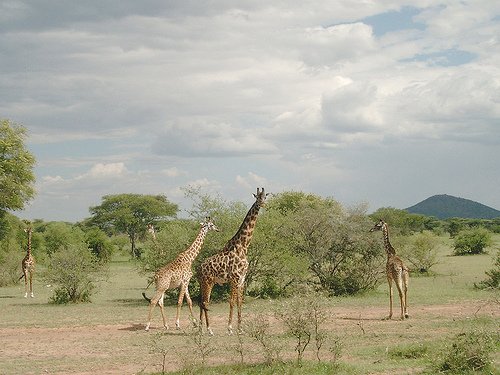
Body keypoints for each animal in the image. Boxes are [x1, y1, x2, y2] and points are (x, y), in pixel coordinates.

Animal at [199, 187, 270, 334]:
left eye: (265, 197)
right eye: (257, 198)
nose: (263, 204)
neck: (243, 246)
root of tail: (198, 268)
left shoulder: (242, 278)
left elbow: (239, 302)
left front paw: (240, 328)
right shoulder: (234, 278)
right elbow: (231, 301)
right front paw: (230, 328)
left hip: (205, 283)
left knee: (202, 302)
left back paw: (200, 328)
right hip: (208, 281)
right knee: (205, 302)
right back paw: (209, 329)